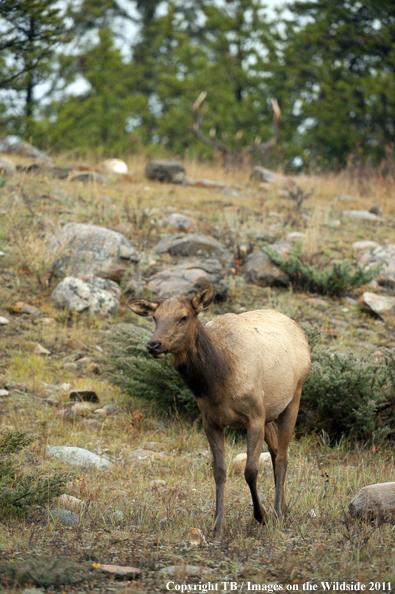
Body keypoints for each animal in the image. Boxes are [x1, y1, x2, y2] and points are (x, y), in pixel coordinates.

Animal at [130, 280, 312, 532]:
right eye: (155, 317)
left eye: (183, 317)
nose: (153, 345)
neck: (219, 378)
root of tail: (300, 331)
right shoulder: (211, 421)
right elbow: (219, 472)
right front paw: (218, 524)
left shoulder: (254, 416)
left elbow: (250, 471)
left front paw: (261, 515)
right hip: (269, 413)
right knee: (276, 450)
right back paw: (284, 507)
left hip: (293, 396)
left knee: (282, 457)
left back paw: (277, 512)